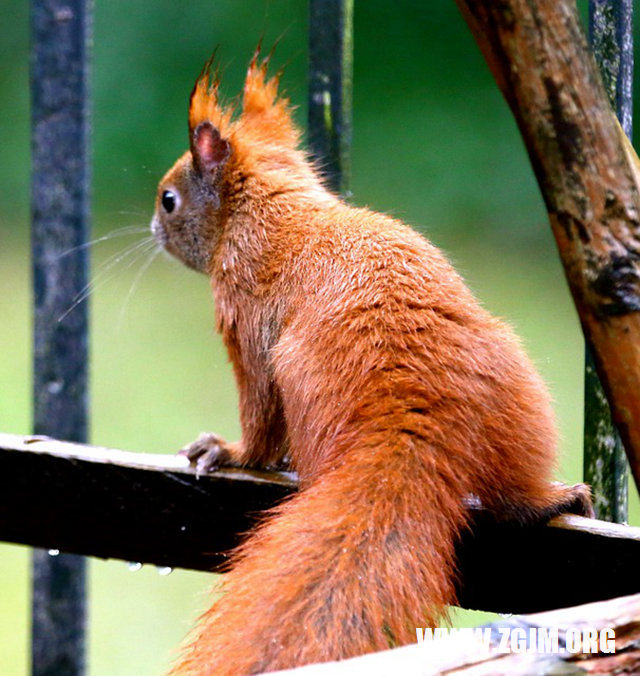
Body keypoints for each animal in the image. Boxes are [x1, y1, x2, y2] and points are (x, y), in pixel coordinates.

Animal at [149, 50, 592, 672]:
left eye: (170, 200)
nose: (153, 227)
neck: (270, 206)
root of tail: (412, 428)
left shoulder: (242, 313)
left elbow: (258, 414)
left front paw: (230, 451)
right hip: (521, 403)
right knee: (510, 500)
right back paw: (551, 500)